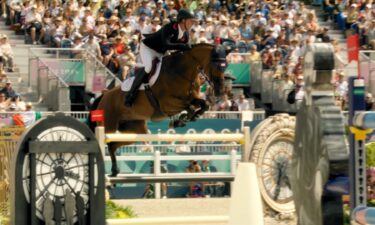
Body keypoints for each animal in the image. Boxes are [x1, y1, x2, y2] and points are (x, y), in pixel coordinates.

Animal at [92, 43, 228, 177]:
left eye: (225, 66)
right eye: (215, 65)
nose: (220, 91)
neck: (182, 72)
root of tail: (104, 95)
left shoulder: (192, 98)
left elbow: (204, 105)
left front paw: (193, 116)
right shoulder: (166, 104)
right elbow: (188, 107)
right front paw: (180, 121)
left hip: (135, 132)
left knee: (113, 145)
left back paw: (115, 171)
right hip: (108, 125)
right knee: (107, 143)